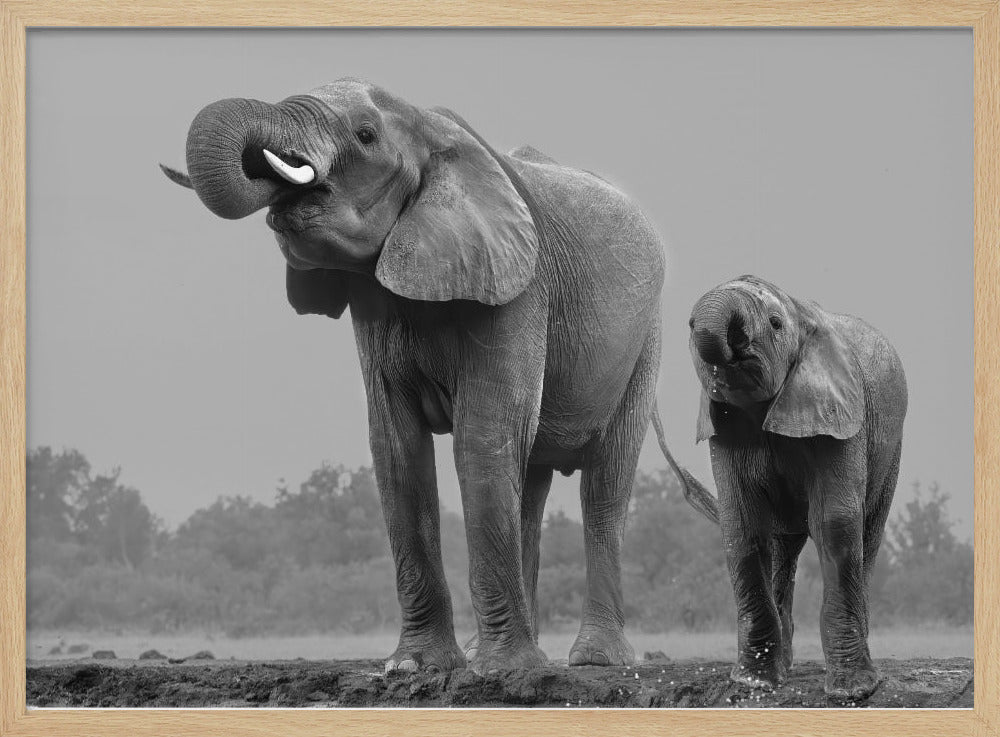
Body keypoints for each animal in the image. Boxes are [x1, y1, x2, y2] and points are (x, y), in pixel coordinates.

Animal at [162, 78, 718, 675]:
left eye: (365, 135)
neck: (430, 129)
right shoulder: (376, 303)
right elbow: (396, 447)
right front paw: (420, 667)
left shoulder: (518, 288)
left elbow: (483, 435)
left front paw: (501, 672)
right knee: (530, 485)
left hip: (645, 343)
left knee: (605, 485)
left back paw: (594, 660)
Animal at [687, 275, 907, 701]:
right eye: (689, 326)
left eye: (774, 323)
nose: (735, 341)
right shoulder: (724, 427)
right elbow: (742, 527)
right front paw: (753, 684)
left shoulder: (841, 416)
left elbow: (834, 523)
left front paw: (852, 693)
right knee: (781, 546)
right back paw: (784, 666)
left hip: (891, 449)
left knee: (868, 532)